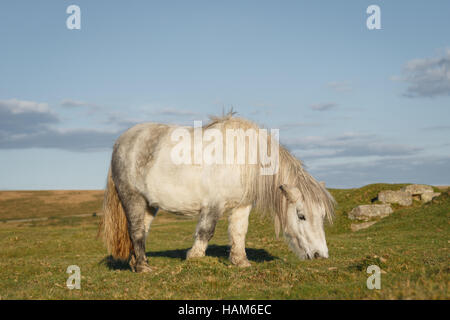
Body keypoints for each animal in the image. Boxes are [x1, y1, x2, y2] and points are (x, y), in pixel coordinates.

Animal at [101, 112, 334, 272]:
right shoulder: (213, 204)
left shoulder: (242, 206)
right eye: (301, 216)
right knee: (136, 230)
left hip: (149, 205)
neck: (243, 158)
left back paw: (137, 262)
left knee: (142, 231)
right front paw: (194, 257)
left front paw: (241, 261)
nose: (320, 255)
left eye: (322, 216)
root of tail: (121, 141)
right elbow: (206, 231)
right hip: (133, 199)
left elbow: (239, 232)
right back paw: (143, 267)